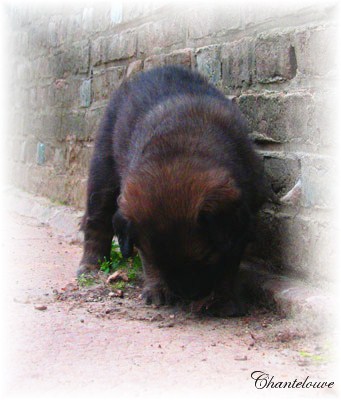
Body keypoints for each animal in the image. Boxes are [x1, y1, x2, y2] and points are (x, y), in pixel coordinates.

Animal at [78, 65, 264, 316]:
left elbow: (228, 266)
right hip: (102, 173)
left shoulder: (237, 231)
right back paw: (90, 265)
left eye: (206, 257)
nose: (188, 295)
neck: (182, 146)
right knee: (96, 222)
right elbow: (149, 266)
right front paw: (157, 289)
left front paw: (223, 300)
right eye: (156, 259)